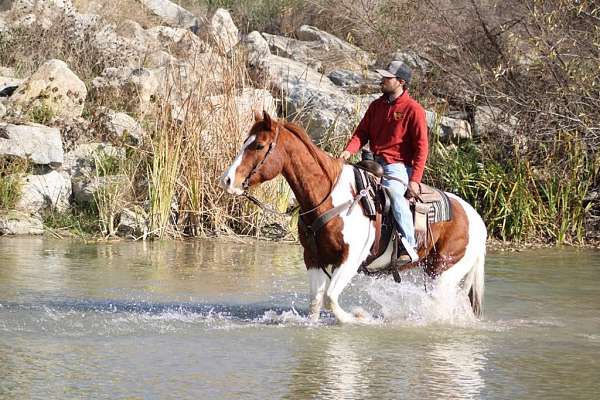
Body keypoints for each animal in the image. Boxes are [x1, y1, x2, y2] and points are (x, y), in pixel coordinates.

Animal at [220, 111, 488, 324]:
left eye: (259, 146)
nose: (228, 180)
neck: (330, 197)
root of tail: (476, 219)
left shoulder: (349, 259)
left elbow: (331, 299)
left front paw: (358, 317)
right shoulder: (313, 258)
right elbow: (316, 302)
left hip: (442, 273)